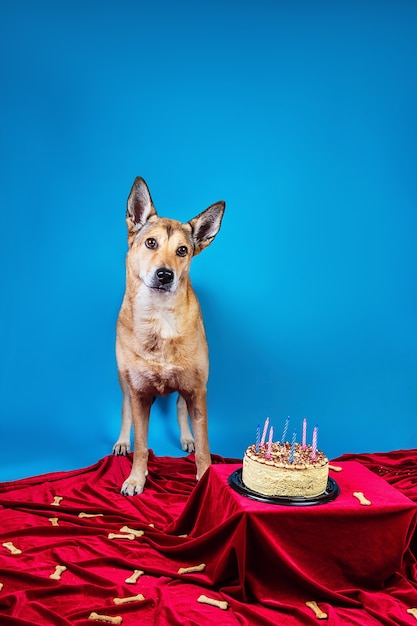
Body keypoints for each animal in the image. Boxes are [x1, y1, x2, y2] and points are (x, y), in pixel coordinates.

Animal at [112, 176, 226, 492]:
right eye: (151, 243)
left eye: (182, 250)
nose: (165, 275)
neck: (159, 318)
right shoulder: (139, 393)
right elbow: (141, 444)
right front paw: (136, 477)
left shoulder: (197, 391)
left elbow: (204, 444)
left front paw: (205, 476)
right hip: (124, 379)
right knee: (126, 409)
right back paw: (122, 441)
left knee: (179, 406)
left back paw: (186, 437)